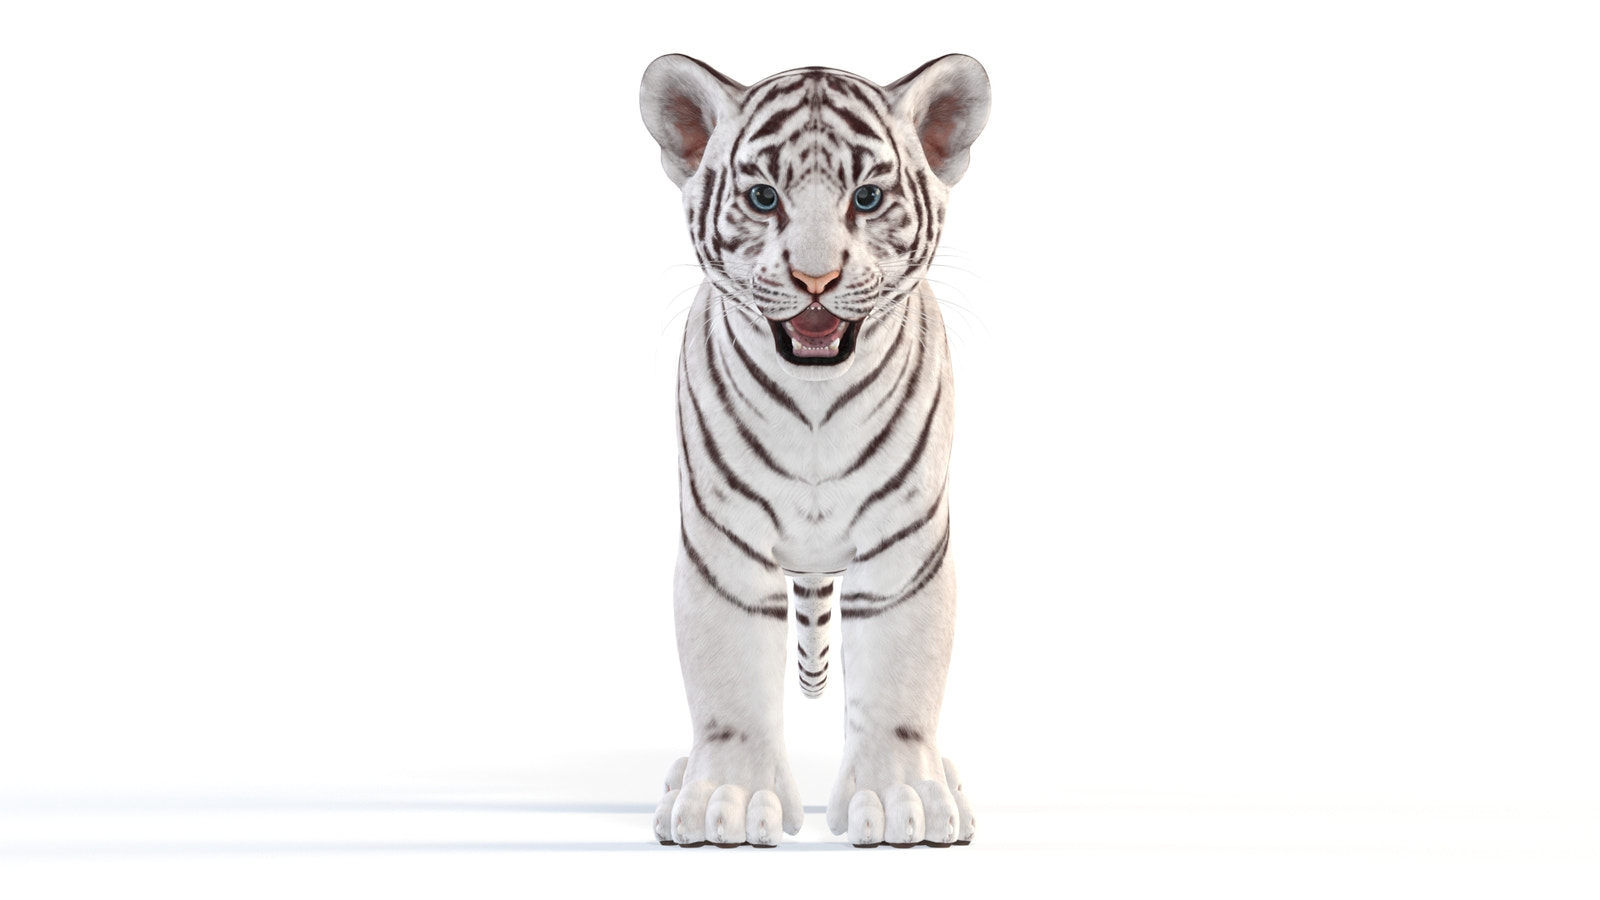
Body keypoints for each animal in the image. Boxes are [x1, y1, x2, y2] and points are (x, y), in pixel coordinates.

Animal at [639, 53, 989, 848]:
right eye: (763, 198)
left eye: (867, 197)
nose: (816, 279)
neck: (816, 406)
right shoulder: (723, 550)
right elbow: (729, 685)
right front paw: (725, 801)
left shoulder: (905, 550)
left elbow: (899, 682)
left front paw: (902, 802)